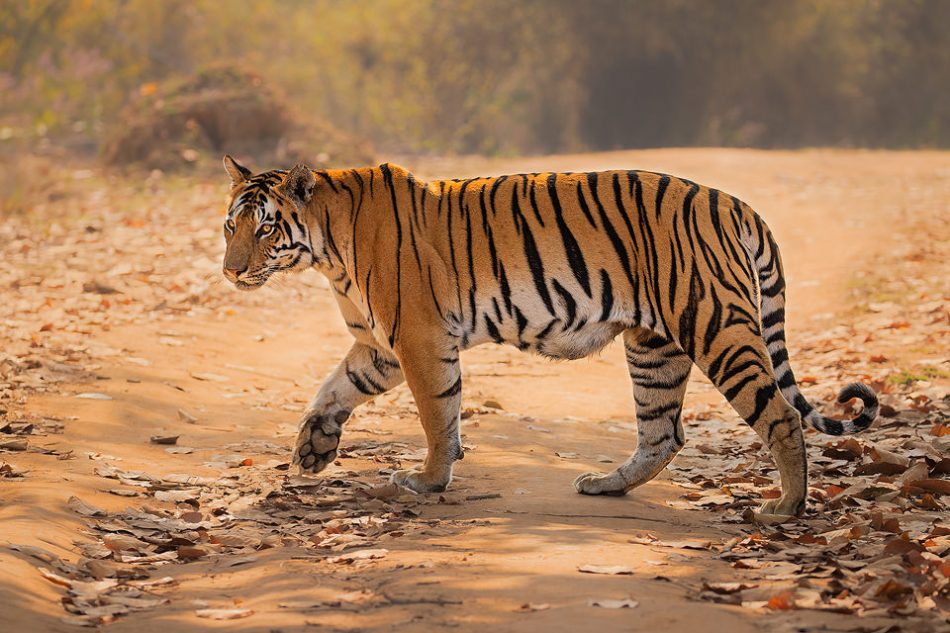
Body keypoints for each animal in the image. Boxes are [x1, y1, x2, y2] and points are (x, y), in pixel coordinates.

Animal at [219, 154, 880, 520]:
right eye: (231, 226)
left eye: (265, 228)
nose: (229, 271)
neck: (326, 249)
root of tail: (737, 204)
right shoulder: (381, 346)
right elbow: (335, 387)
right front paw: (312, 448)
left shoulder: (418, 338)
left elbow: (437, 414)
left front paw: (428, 480)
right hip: (654, 346)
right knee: (662, 432)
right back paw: (605, 485)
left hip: (715, 325)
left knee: (779, 415)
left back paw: (786, 508)